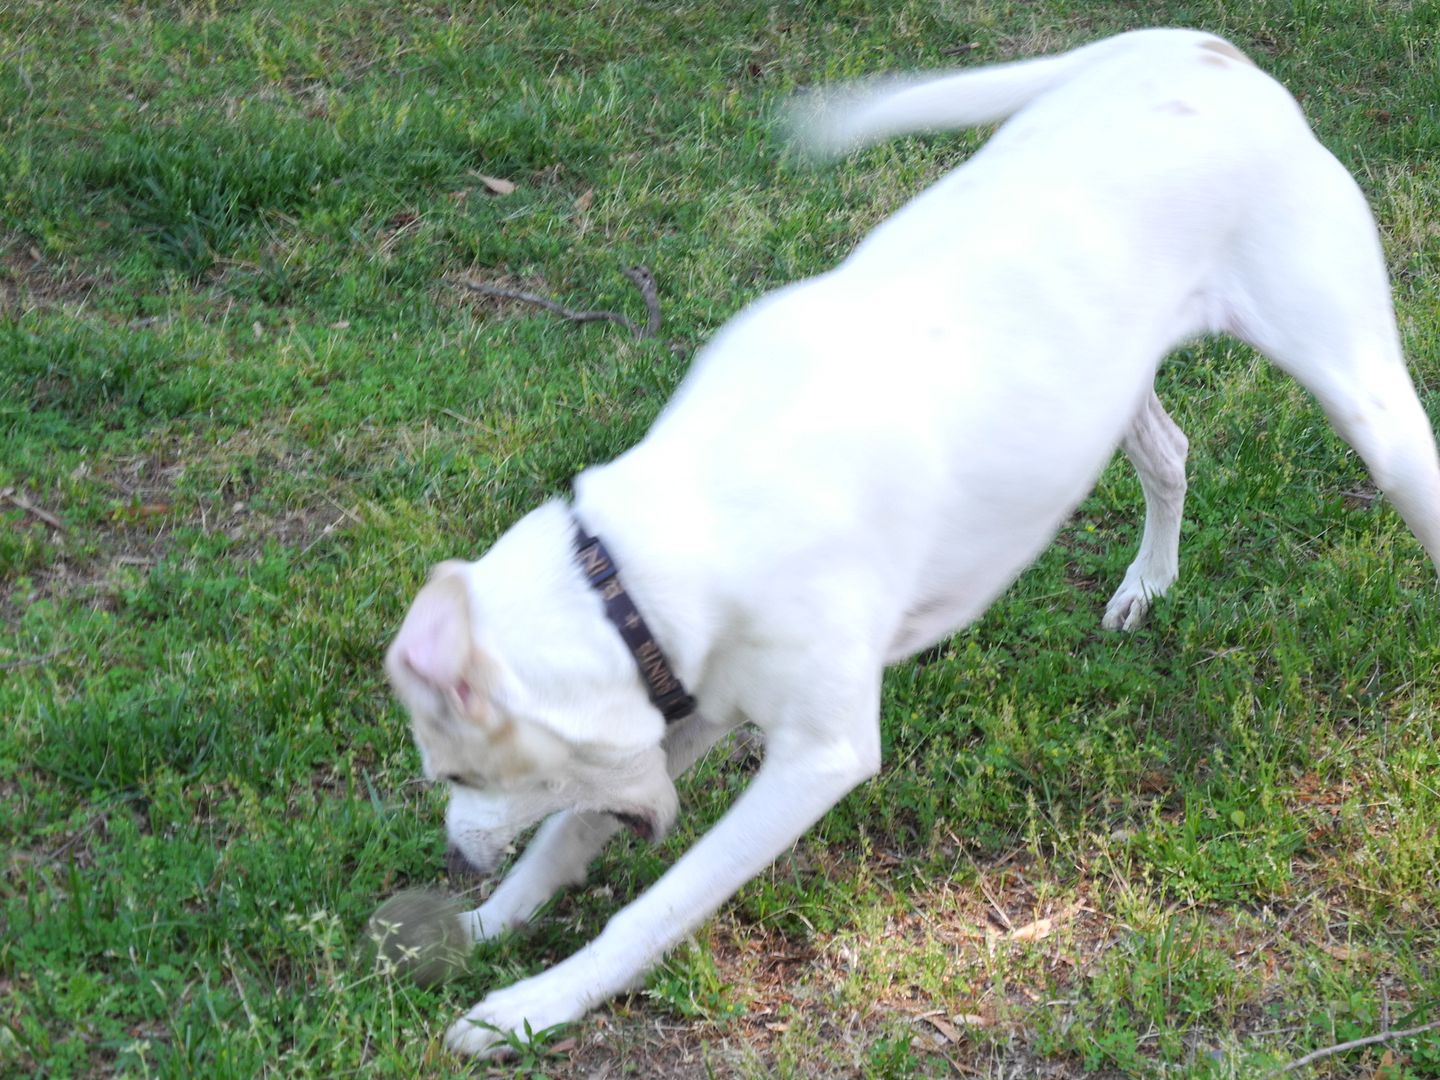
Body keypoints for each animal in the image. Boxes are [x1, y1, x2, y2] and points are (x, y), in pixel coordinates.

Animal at [383, 29, 1440, 1059]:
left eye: (459, 774)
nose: (453, 859)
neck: (666, 541)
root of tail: (1210, 54)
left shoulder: (818, 756)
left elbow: (658, 905)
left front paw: (531, 1006)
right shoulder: (688, 706)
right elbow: (566, 832)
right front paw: (488, 932)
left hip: (1369, 409)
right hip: (1107, 386)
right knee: (1172, 454)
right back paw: (1148, 583)